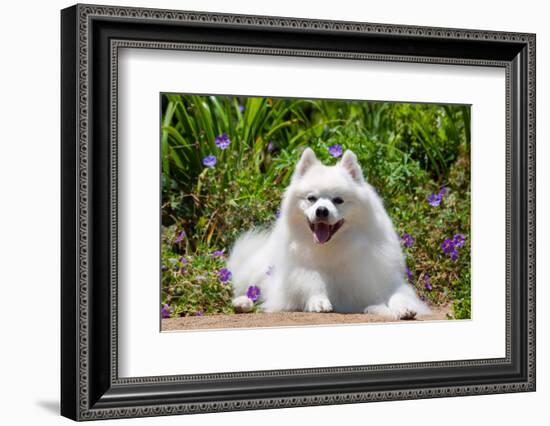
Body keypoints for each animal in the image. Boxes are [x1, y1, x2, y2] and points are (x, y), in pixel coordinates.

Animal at [229, 149, 432, 320]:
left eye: (338, 200)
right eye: (311, 198)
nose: (321, 211)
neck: (332, 246)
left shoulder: (379, 278)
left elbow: (397, 295)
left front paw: (403, 308)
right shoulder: (302, 271)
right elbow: (312, 281)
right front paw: (318, 300)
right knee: (251, 290)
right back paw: (242, 303)